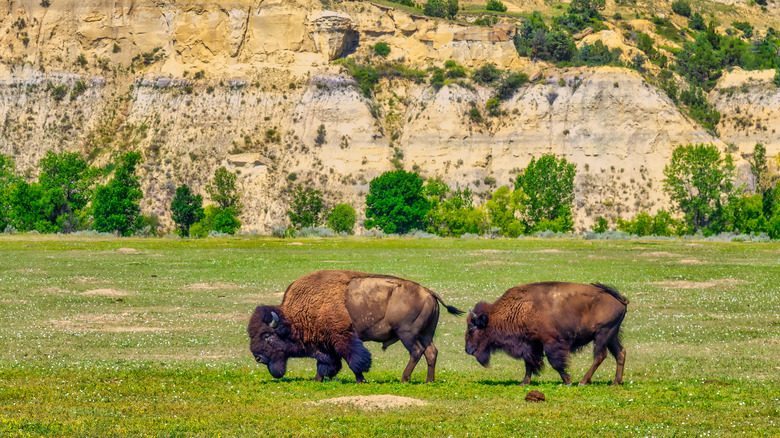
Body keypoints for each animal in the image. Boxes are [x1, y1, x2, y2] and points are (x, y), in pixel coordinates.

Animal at [247, 270, 464, 384]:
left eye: (266, 335)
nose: (258, 358)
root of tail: (428, 292)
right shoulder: (326, 344)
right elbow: (326, 362)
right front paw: (318, 379)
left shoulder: (342, 337)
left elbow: (354, 360)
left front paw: (361, 380)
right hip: (426, 334)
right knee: (431, 352)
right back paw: (429, 381)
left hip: (407, 334)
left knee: (417, 352)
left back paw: (404, 379)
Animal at [464, 282, 628, 384]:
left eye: (472, 328)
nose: (467, 349)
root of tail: (620, 299)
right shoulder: (531, 345)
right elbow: (529, 363)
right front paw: (524, 382)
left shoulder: (550, 342)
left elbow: (555, 362)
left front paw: (567, 381)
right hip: (611, 336)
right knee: (620, 353)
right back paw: (615, 382)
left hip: (602, 334)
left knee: (600, 355)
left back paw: (582, 382)